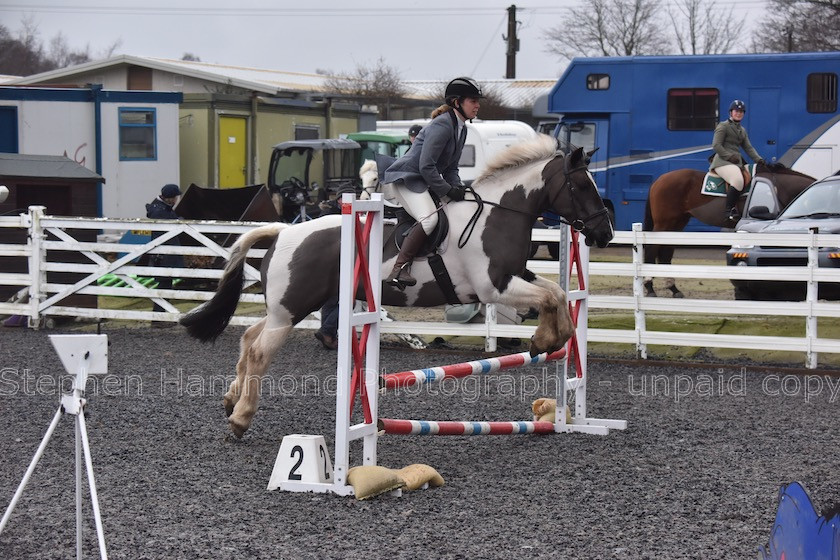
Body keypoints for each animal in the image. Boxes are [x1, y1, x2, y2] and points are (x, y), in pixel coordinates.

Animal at [644, 163, 812, 298]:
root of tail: (659, 179)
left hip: (677, 223)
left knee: (666, 252)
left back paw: (673, 289)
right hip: (664, 223)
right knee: (652, 249)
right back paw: (649, 287)